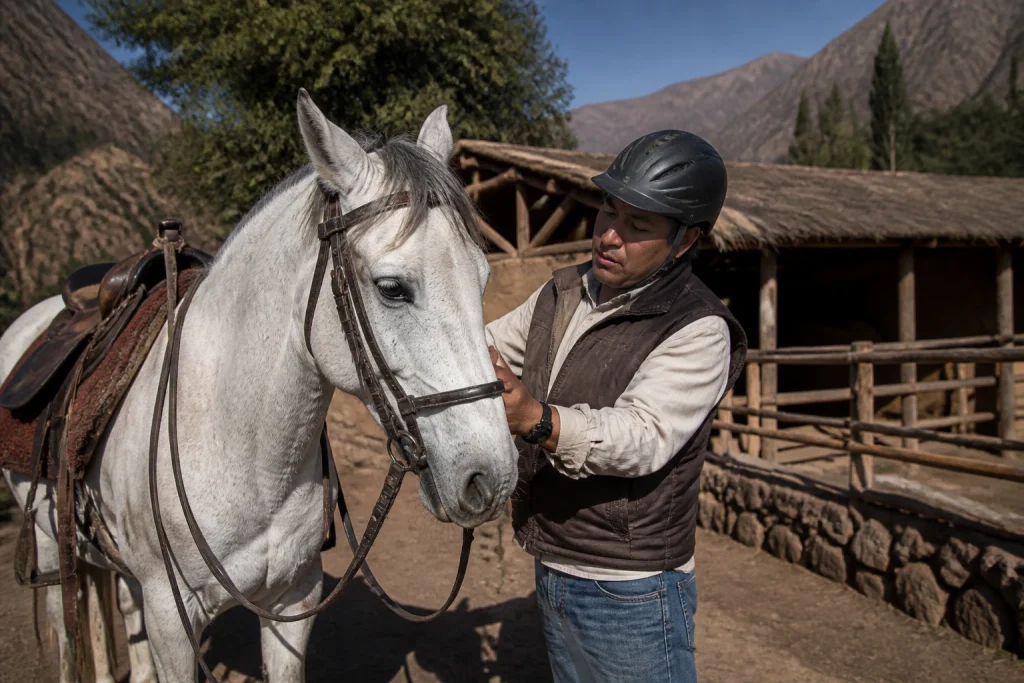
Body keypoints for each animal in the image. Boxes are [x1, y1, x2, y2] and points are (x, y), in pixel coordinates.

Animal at [1, 90, 519, 682]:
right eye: (391, 288)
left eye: (483, 278)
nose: (493, 478)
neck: (241, 447)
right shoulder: (171, 618)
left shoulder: (293, 600)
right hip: (47, 540)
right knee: (67, 624)